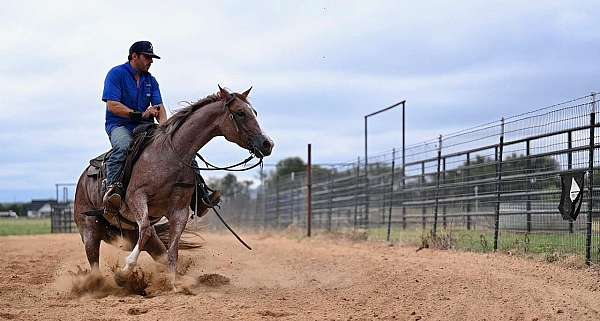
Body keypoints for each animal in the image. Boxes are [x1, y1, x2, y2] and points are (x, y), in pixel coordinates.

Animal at [74, 85, 276, 284]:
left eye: (254, 112)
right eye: (240, 113)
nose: (267, 144)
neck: (170, 155)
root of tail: (82, 180)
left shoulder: (179, 210)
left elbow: (172, 251)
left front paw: (174, 285)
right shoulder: (136, 197)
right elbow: (145, 229)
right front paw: (124, 272)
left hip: (131, 234)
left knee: (157, 249)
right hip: (90, 231)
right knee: (96, 264)